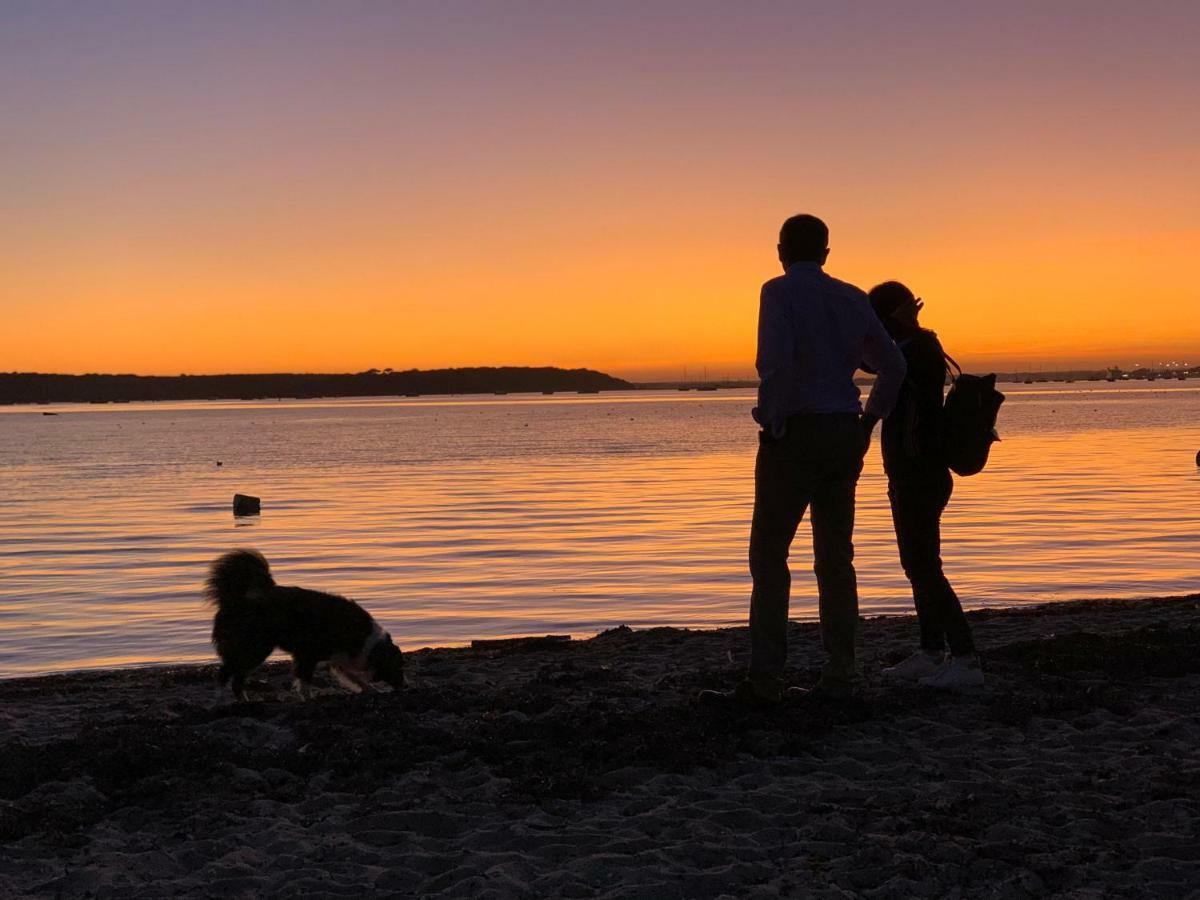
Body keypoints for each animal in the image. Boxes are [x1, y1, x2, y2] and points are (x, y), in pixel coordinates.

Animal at [206, 549, 408, 705]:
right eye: (398, 667)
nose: (405, 686)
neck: (367, 641)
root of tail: (235, 599)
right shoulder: (308, 655)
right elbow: (304, 680)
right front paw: (308, 697)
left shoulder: (336, 657)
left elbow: (353, 677)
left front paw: (370, 689)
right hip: (255, 649)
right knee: (225, 673)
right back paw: (220, 700)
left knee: (236, 679)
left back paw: (245, 701)